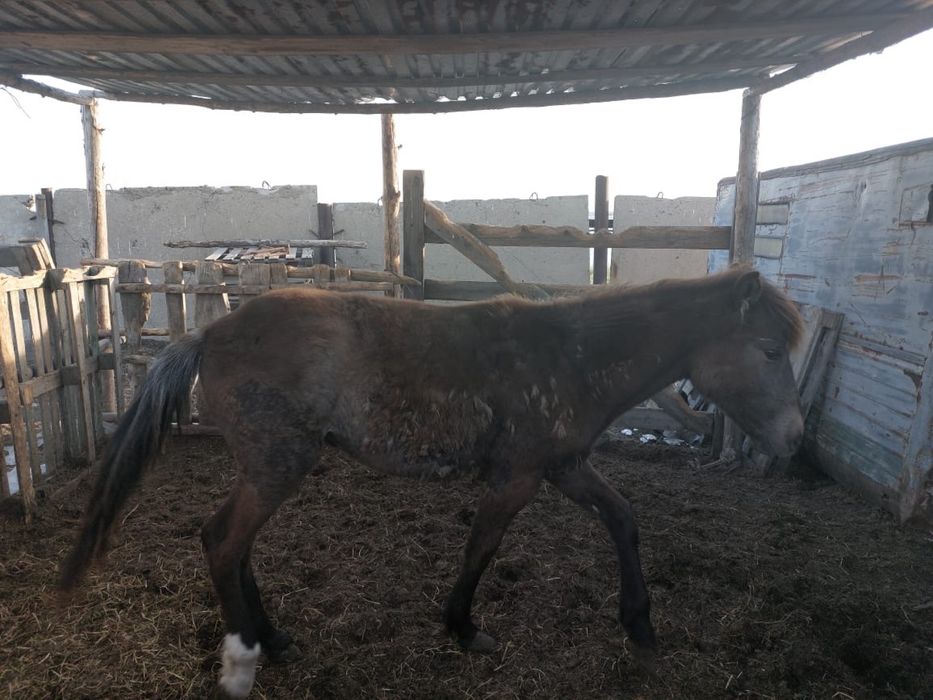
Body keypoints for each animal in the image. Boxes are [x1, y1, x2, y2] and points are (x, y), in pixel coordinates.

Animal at [60, 265, 804, 698]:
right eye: (769, 350)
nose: (796, 439)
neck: (569, 355)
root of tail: (207, 335)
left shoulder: (563, 466)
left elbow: (623, 519)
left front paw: (641, 628)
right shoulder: (517, 477)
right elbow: (482, 547)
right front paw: (463, 627)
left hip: (270, 467)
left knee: (234, 547)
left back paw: (274, 639)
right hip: (276, 465)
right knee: (221, 541)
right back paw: (243, 661)